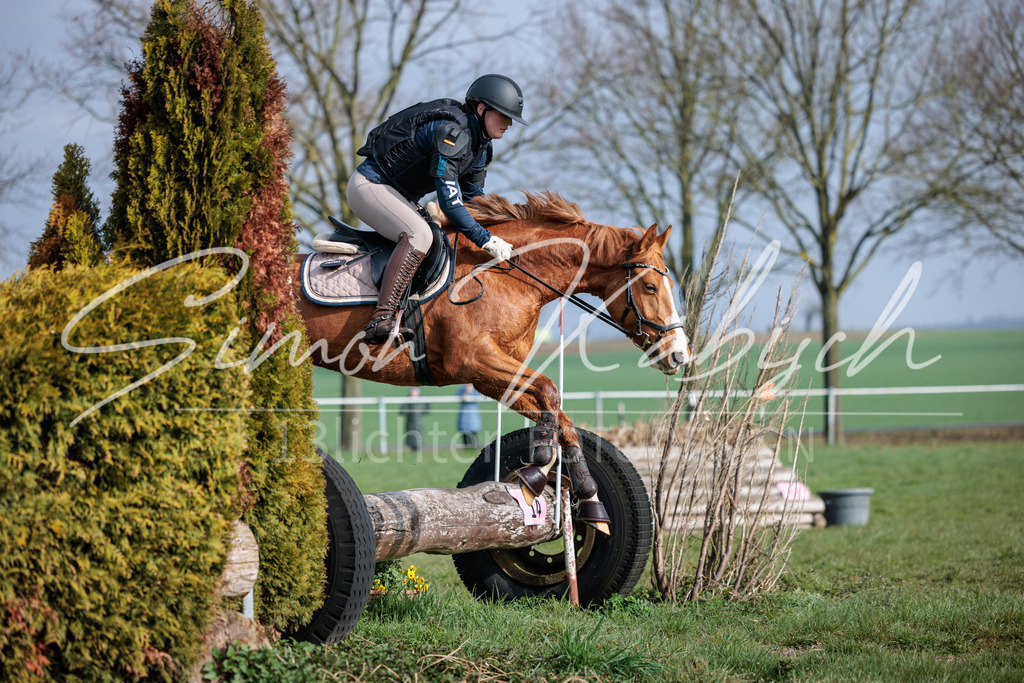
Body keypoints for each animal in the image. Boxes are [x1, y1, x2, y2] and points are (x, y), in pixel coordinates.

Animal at [292, 192, 690, 532]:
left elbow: (558, 415)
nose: (679, 355)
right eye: (650, 287)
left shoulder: (492, 375)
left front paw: (587, 493)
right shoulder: (473, 360)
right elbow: (550, 391)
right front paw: (538, 467)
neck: (508, 274)